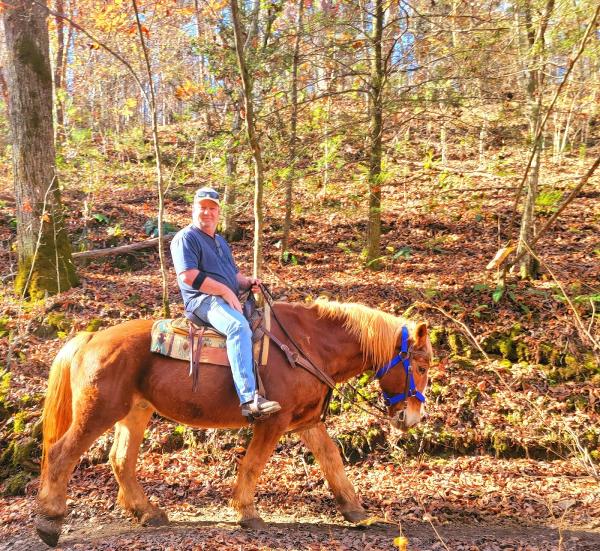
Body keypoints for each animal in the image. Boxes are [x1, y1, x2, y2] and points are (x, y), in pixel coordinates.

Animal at [36, 302, 432, 548]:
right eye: (421, 366)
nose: (413, 418)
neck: (307, 346)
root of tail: (88, 338)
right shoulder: (274, 421)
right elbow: (254, 463)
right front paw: (247, 512)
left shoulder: (306, 422)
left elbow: (332, 459)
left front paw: (356, 512)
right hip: (98, 411)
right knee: (61, 454)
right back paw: (49, 521)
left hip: (135, 411)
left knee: (120, 460)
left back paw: (147, 512)